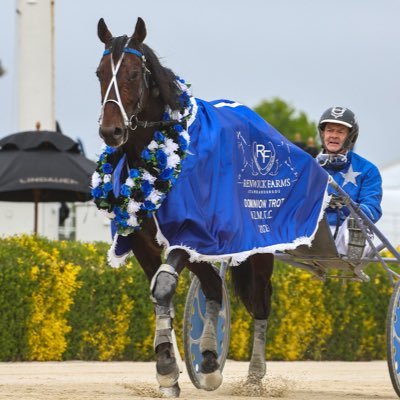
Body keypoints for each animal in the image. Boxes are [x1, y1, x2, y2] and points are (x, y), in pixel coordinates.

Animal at [94, 16, 276, 396]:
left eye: (134, 73)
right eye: (100, 72)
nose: (111, 131)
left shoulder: (188, 233)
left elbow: (164, 286)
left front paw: (167, 366)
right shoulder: (143, 240)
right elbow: (158, 292)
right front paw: (169, 369)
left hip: (259, 247)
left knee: (260, 300)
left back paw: (254, 372)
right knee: (213, 288)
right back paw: (207, 359)